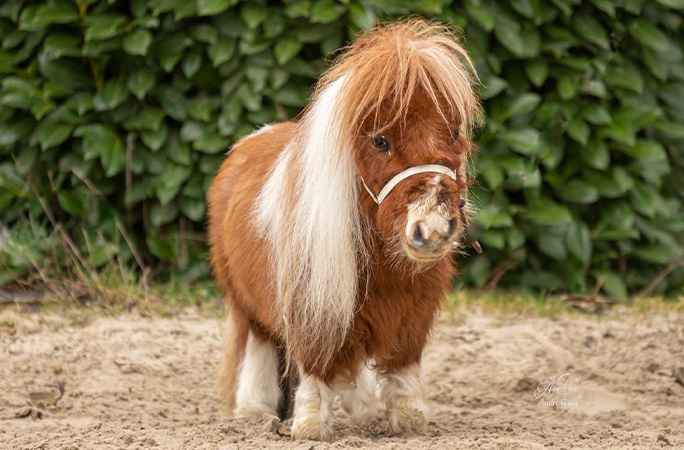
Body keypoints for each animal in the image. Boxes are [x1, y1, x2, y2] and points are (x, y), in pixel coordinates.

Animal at [207, 19, 481, 441]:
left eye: (453, 133)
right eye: (380, 140)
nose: (432, 229)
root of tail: (246, 144)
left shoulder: (413, 310)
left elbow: (402, 367)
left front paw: (408, 419)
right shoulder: (312, 304)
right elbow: (315, 366)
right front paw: (309, 426)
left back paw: (363, 411)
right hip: (245, 303)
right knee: (261, 345)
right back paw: (254, 410)